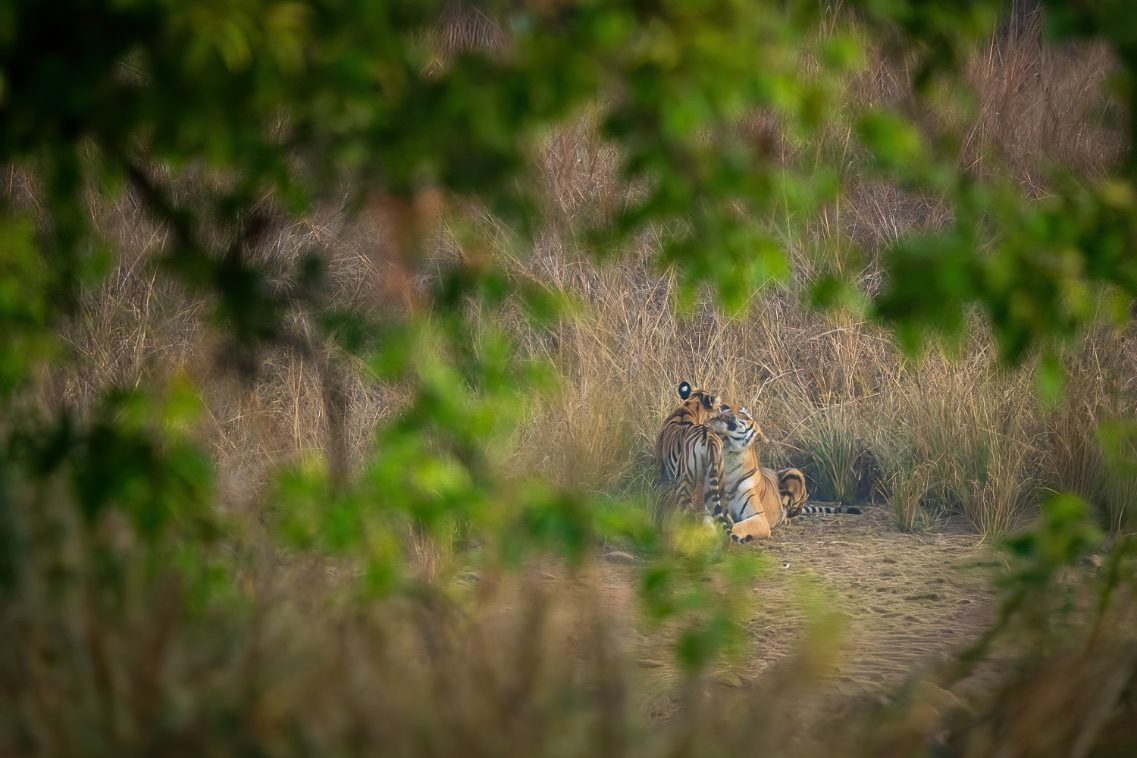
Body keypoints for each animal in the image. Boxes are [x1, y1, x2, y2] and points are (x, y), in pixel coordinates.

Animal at [654, 381, 734, 530]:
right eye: (720, 405)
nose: (727, 407)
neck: (690, 405)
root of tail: (709, 440)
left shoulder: (661, 471)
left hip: (684, 483)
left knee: (692, 514)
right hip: (718, 481)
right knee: (723, 513)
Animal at [705, 406, 813, 542]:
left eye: (743, 414)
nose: (725, 406)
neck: (729, 457)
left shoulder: (759, 518)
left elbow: (737, 527)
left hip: (795, 472)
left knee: (792, 512)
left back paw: (785, 520)